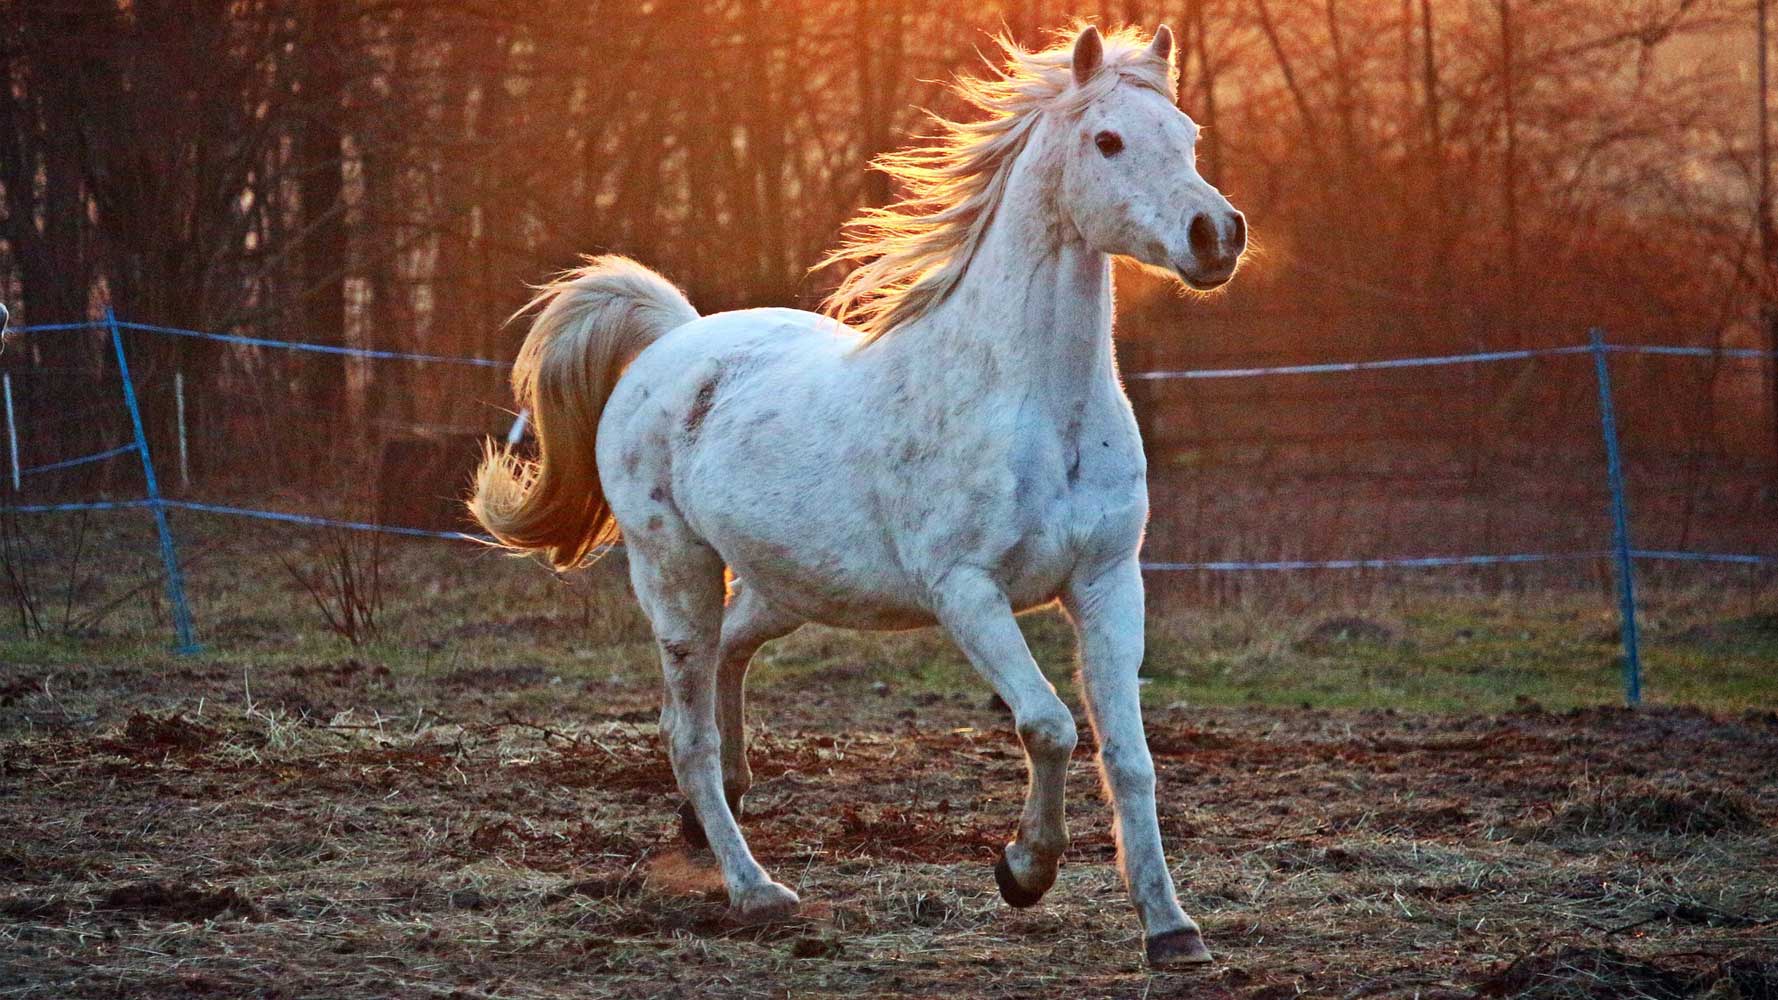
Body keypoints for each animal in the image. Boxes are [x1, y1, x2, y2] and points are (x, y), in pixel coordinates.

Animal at [472, 21, 1251, 960]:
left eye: (1189, 137)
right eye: (1107, 141)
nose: (1217, 235)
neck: (1032, 401)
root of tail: (673, 340)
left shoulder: (1106, 581)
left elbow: (1129, 759)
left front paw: (1171, 928)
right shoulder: (966, 592)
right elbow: (1051, 726)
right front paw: (1023, 871)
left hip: (787, 584)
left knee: (728, 661)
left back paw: (715, 816)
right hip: (675, 572)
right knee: (686, 731)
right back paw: (757, 889)